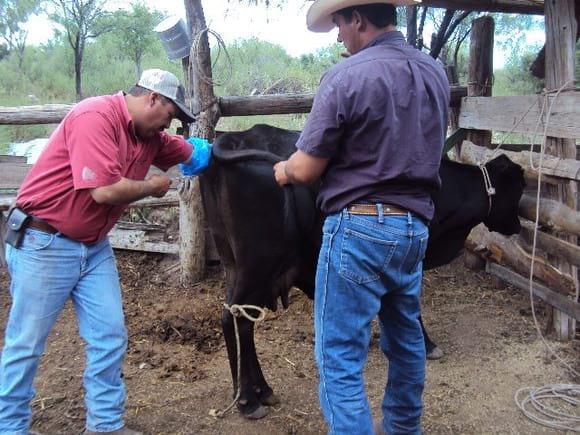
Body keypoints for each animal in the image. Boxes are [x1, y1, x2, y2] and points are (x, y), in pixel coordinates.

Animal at [199, 123, 524, 418]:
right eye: (518, 191)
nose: (519, 226)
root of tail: (234, 137)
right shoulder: (410, 256)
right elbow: (412, 307)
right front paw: (426, 343)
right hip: (258, 266)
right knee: (237, 319)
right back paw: (248, 400)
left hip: (235, 265)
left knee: (237, 320)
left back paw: (257, 391)